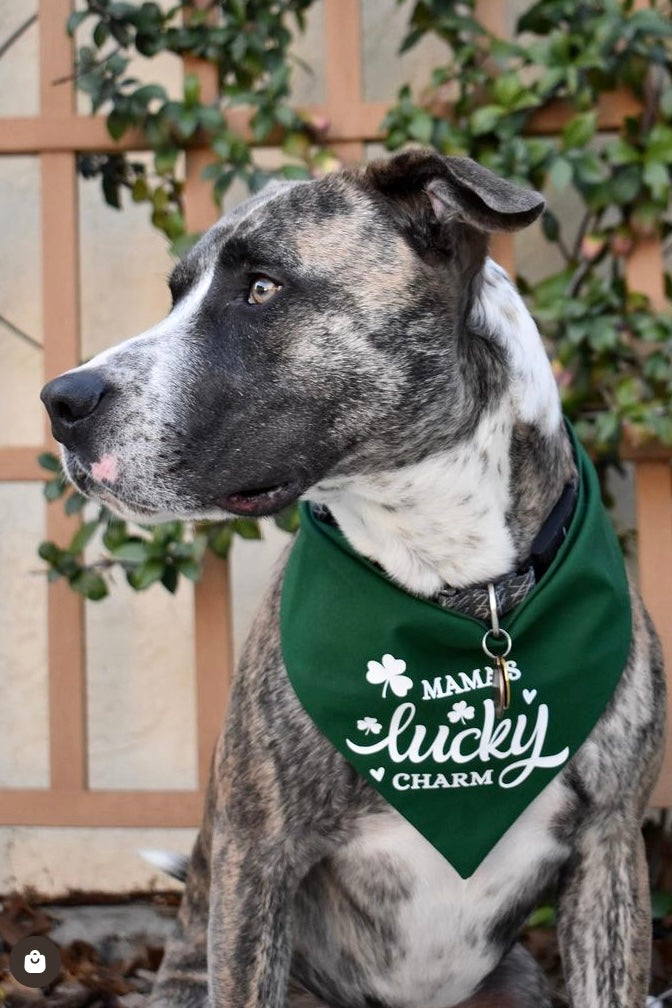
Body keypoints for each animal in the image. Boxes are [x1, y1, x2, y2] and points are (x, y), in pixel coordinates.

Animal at [43, 151, 668, 1008]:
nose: (60, 400)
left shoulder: (610, 847)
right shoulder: (256, 857)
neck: (456, 586)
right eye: (176, 293)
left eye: (262, 288)